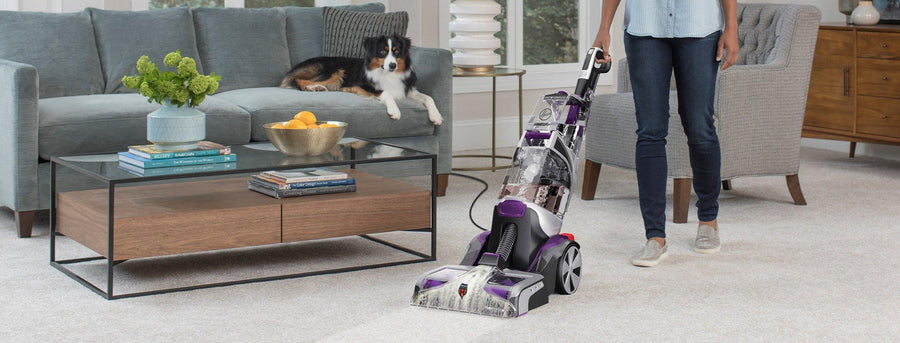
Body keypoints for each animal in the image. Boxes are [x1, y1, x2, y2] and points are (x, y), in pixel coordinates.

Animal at [276, 35, 442, 125]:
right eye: (382, 51)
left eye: (396, 52)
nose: (393, 65)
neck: (388, 74)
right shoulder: (362, 85)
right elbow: (385, 92)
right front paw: (394, 110)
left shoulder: (406, 88)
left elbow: (429, 97)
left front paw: (436, 116)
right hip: (335, 70)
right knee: (298, 80)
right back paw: (313, 87)